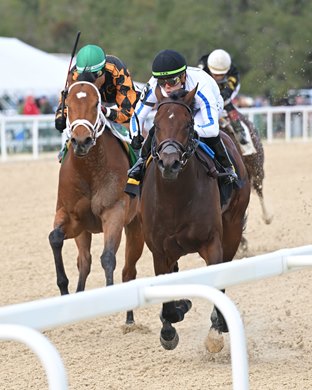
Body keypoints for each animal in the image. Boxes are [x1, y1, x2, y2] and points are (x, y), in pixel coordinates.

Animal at [48, 80, 144, 322]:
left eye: (95, 105)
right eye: (68, 105)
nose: (81, 140)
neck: (89, 170)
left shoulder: (114, 213)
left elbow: (108, 257)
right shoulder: (71, 217)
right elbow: (55, 238)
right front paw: (64, 289)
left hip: (136, 225)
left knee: (129, 270)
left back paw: (129, 318)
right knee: (84, 261)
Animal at [140, 86, 250, 354]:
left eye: (188, 124)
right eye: (155, 125)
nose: (170, 163)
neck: (174, 199)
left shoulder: (212, 243)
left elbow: (217, 281)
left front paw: (215, 331)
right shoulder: (159, 250)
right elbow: (168, 293)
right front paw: (170, 326)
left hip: (232, 227)